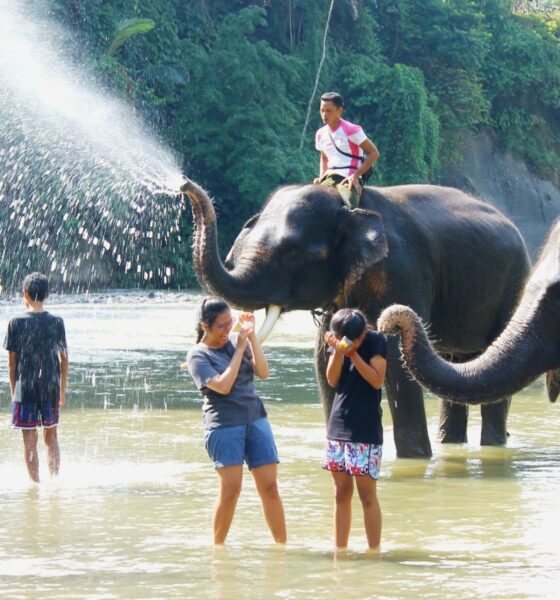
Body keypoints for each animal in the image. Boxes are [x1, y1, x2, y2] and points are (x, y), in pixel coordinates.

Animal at [180, 177, 530, 457]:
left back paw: (490, 447)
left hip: (515, 284)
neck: (348, 207)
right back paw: (452, 445)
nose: (184, 185)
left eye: (292, 253)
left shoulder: (404, 271)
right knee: (457, 364)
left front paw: (415, 459)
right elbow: (323, 358)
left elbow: (397, 362)